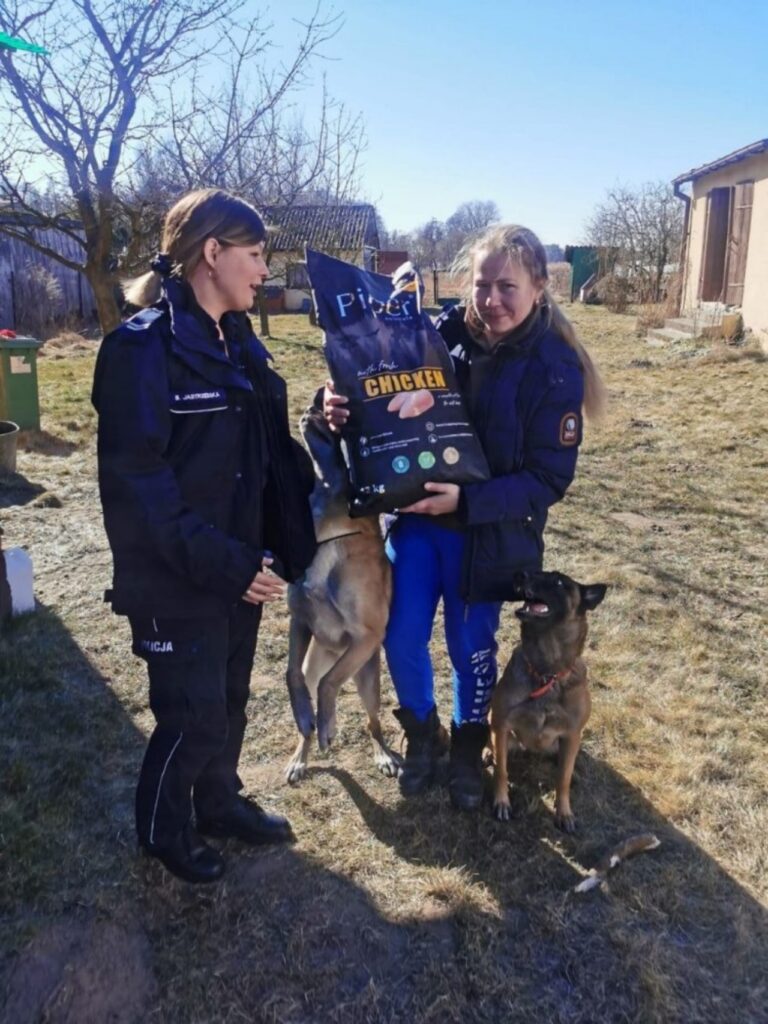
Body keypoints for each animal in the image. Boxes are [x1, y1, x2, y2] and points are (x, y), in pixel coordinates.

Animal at [286, 403, 397, 778]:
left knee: (372, 722)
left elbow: (329, 684)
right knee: (308, 687)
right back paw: (300, 755)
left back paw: (382, 754)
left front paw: (328, 724)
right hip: (316, 660)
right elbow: (292, 675)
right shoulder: (299, 620)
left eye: (340, 432)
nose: (312, 406)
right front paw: (308, 718)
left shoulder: (366, 637)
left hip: (368, 679)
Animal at [493, 569, 606, 831]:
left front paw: (564, 812)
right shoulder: (501, 724)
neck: (546, 672)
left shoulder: (572, 734)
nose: (520, 574)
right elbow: (501, 769)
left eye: (559, 582)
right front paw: (502, 801)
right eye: (537, 573)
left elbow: (562, 779)